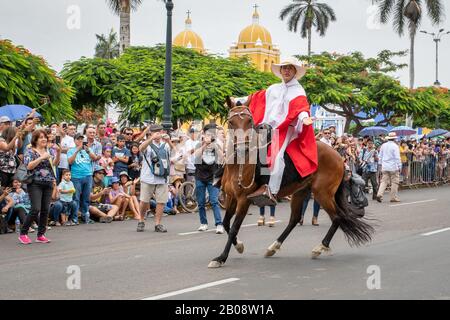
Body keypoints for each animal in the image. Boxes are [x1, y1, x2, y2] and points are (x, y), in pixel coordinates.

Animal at [208, 97, 376, 268]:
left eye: (249, 121)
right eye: (231, 122)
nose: (243, 148)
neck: (239, 165)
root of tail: (338, 156)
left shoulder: (243, 200)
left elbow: (234, 227)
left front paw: (221, 258)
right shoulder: (231, 197)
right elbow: (226, 223)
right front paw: (239, 246)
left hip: (323, 193)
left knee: (337, 217)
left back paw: (319, 248)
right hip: (301, 191)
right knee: (295, 219)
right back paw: (273, 247)